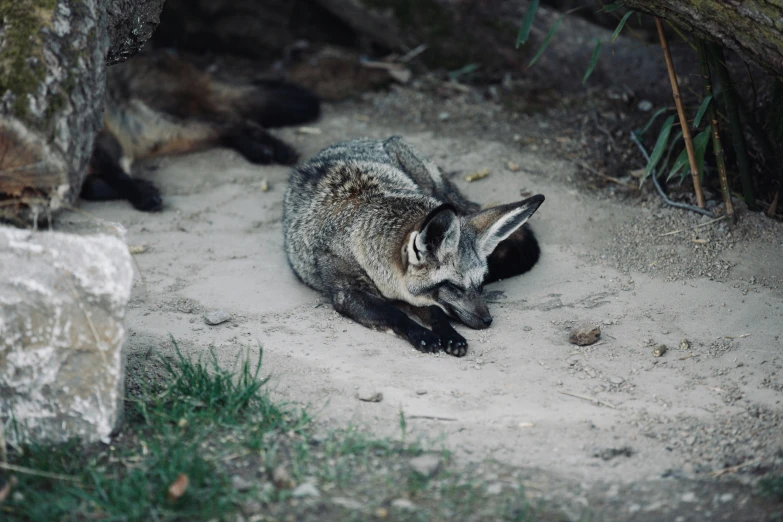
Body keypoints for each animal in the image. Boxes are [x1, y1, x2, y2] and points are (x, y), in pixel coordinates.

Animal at [80, 50, 322, 209]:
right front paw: (140, 189)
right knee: (226, 129)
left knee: (237, 120)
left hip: (166, 114)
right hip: (164, 132)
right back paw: (258, 151)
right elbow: (91, 188)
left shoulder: (101, 144)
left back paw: (279, 150)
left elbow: (115, 176)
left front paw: (140, 194)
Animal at [282, 134, 544, 356]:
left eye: (481, 283)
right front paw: (421, 335)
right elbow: (394, 314)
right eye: (454, 287)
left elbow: (435, 311)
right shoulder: (346, 294)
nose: (487, 320)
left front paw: (449, 334)